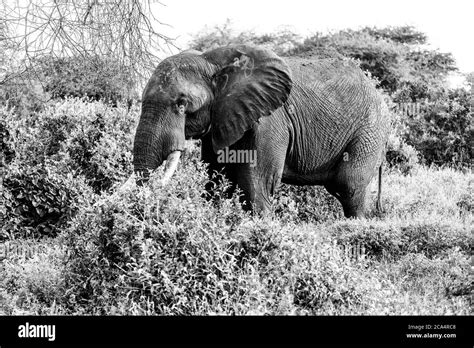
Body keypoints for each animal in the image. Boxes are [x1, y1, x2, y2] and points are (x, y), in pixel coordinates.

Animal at [131, 44, 390, 218]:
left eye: (182, 104)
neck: (210, 62)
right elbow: (217, 179)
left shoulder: (268, 121)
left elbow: (256, 183)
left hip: (369, 130)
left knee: (349, 185)